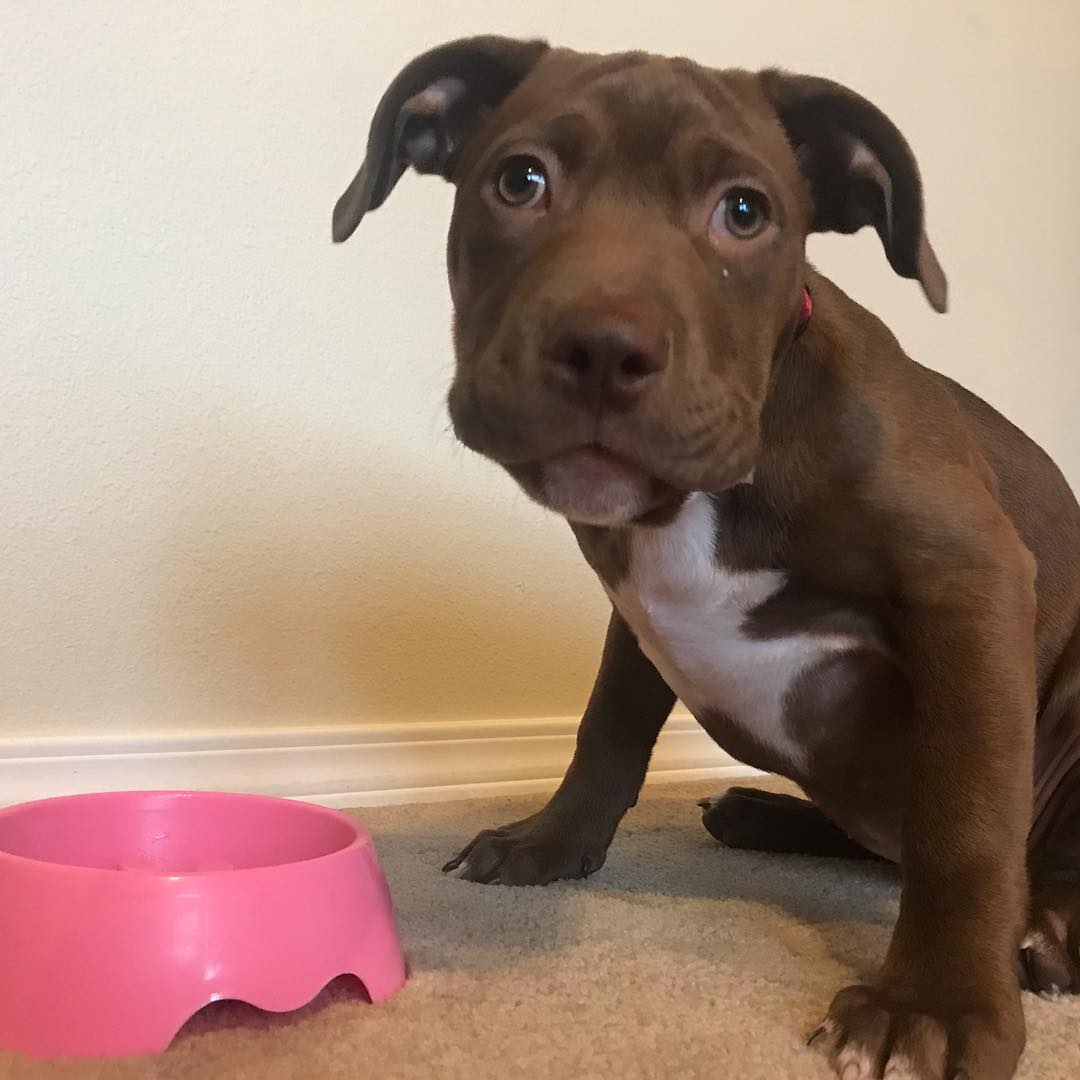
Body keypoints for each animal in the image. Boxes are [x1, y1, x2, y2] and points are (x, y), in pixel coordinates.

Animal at [332, 35, 1080, 1080]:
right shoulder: (638, 614)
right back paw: (763, 815)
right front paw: (551, 842)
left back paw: (1047, 928)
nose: (604, 349)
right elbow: (606, 729)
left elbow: (965, 819)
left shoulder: (969, 584)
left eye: (744, 213)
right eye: (521, 182)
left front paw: (934, 1005)